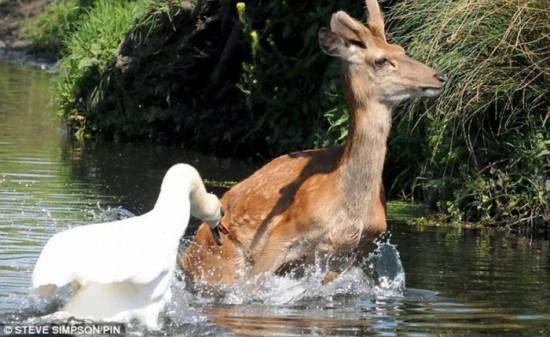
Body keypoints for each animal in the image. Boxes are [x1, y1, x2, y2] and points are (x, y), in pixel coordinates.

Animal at [181, 0, 448, 284]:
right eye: (381, 60)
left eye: (401, 50)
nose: (439, 76)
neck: (349, 208)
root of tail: (187, 255)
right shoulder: (283, 234)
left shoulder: (348, 254)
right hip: (220, 259)